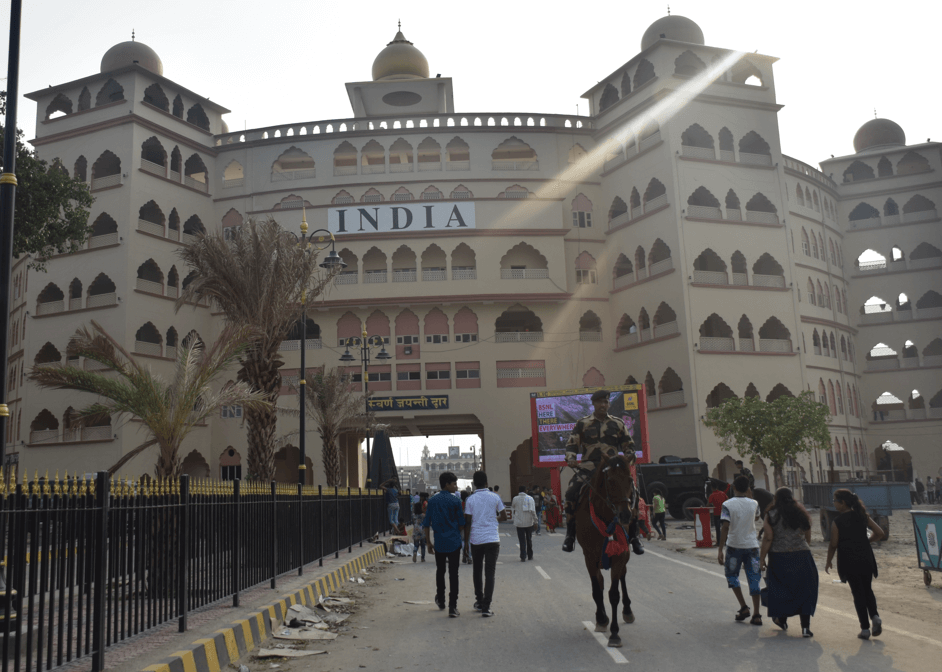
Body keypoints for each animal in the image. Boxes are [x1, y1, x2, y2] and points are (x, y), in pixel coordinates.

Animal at [572, 454, 636, 648]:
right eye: (610, 481)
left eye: (630, 479)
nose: (625, 515)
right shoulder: (589, 556)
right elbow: (596, 589)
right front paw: (601, 619)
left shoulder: (620, 554)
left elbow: (614, 594)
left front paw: (615, 634)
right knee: (599, 583)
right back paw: (602, 617)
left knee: (623, 576)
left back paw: (627, 610)